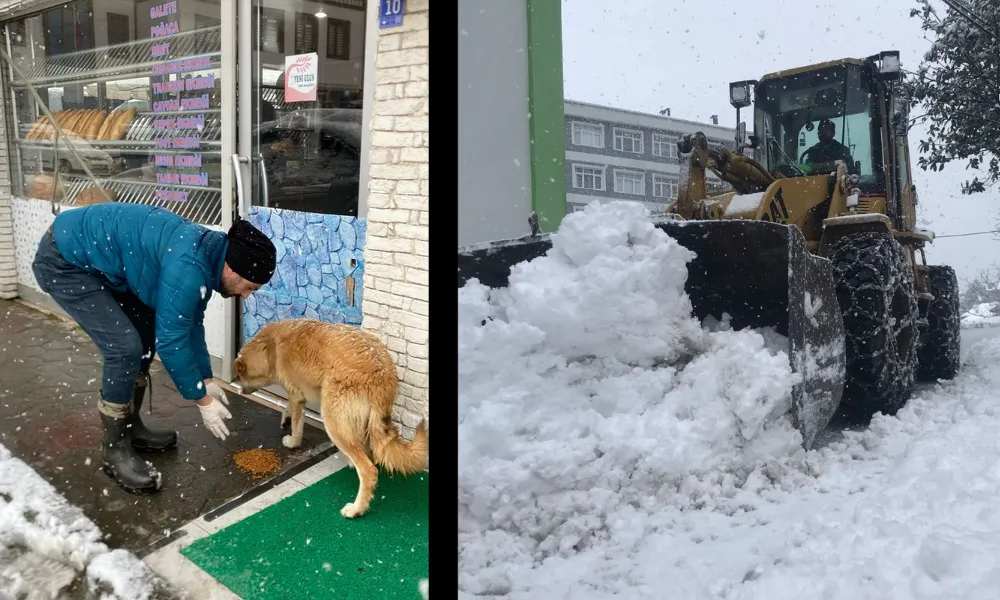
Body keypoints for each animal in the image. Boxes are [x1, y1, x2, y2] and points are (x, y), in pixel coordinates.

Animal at [234, 316, 430, 516]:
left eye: (241, 377)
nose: (240, 390)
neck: (270, 347)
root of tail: (382, 375)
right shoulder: (296, 395)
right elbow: (288, 409)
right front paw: (285, 418)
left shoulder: (296, 394)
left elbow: (297, 424)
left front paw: (293, 441)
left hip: (332, 419)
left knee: (368, 469)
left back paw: (356, 509)